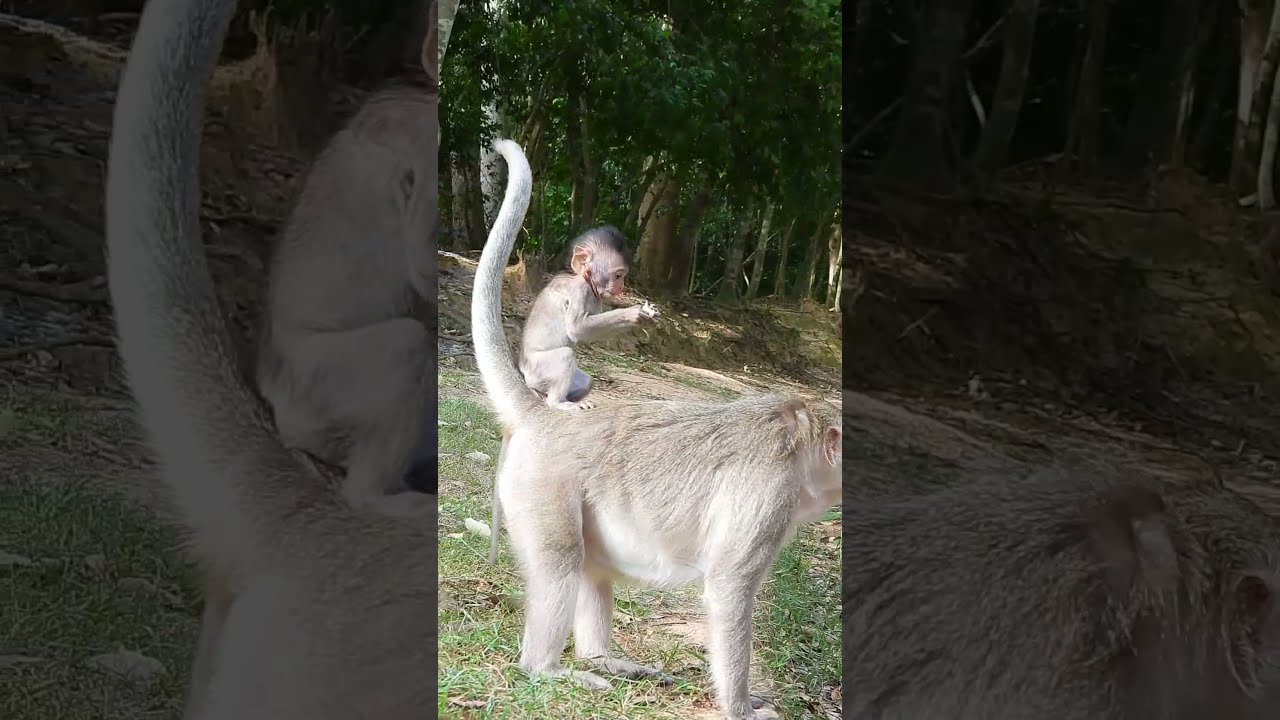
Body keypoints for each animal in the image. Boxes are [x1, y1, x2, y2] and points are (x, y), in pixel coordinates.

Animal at [470, 140, 842, 720]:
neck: (798, 438)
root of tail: (543, 417)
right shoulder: (769, 489)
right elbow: (729, 586)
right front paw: (742, 706)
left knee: (592, 564)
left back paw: (603, 658)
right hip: (540, 488)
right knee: (562, 560)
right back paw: (550, 669)